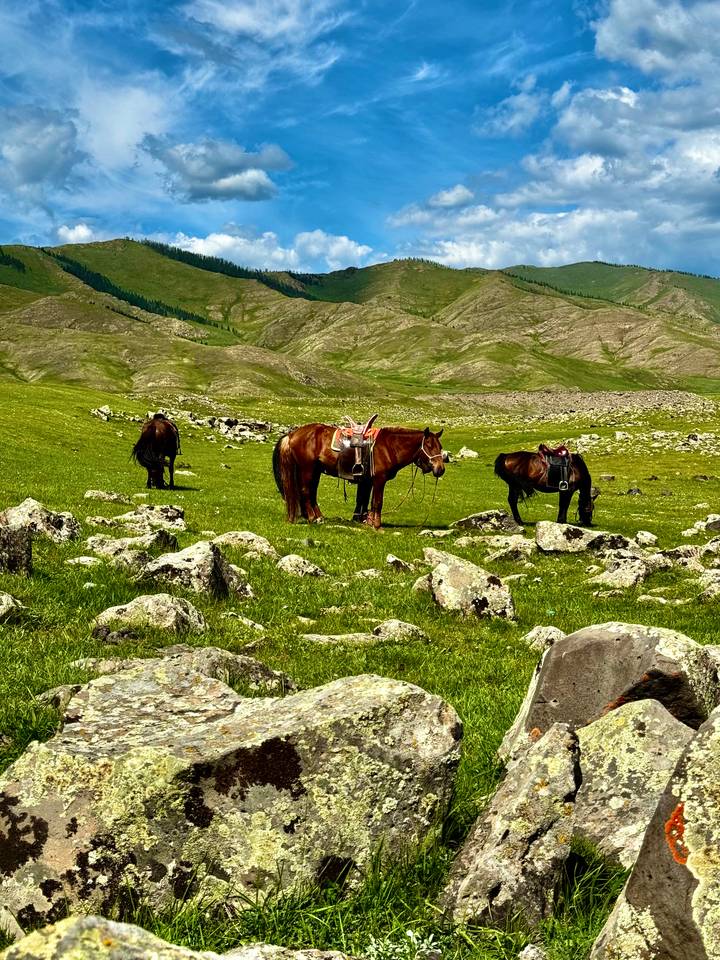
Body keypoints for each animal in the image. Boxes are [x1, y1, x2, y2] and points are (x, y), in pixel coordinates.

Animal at [273, 424, 445, 528]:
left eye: (440, 446)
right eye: (429, 446)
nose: (440, 469)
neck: (389, 447)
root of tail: (291, 434)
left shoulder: (368, 481)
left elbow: (365, 501)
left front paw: (366, 521)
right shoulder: (379, 479)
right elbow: (377, 502)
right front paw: (377, 525)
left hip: (315, 470)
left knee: (312, 493)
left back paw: (319, 517)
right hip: (307, 469)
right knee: (305, 491)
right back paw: (312, 518)